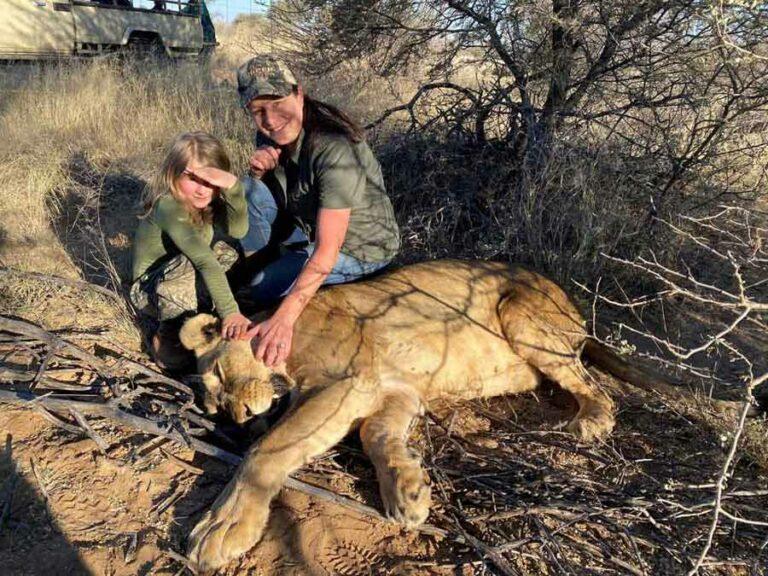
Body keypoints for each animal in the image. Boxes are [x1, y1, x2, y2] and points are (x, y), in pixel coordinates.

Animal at [185, 259, 616, 572]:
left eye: (219, 372)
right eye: (215, 407)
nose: (241, 416)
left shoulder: (347, 382)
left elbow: (266, 450)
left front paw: (222, 526)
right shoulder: (395, 389)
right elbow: (376, 433)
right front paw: (407, 487)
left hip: (519, 312)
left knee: (597, 389)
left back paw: (592, 420)